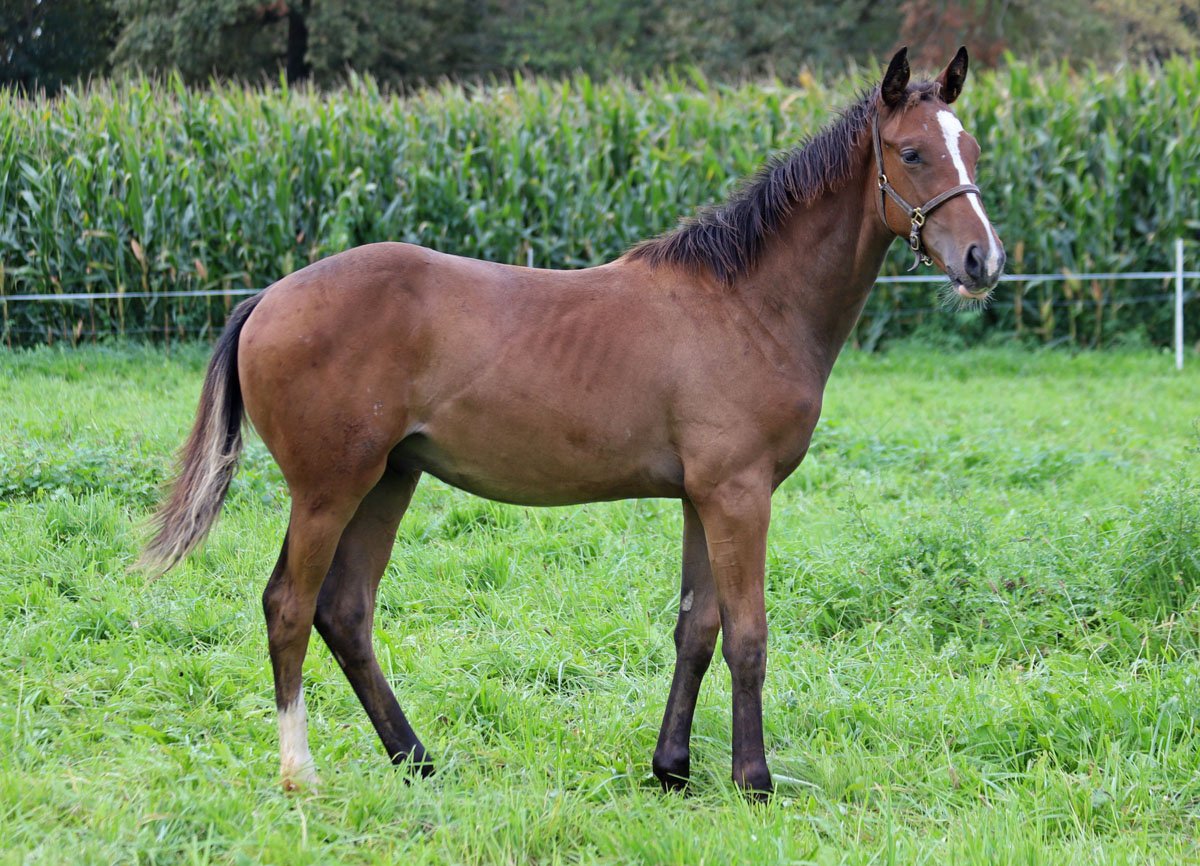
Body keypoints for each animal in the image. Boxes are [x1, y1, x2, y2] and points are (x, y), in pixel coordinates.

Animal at [142, 46, 1004, 797]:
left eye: (972, 148)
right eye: (912, 152)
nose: (983, 262)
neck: (747, 303)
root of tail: (266, 298)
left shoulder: (702, 498)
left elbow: (697, 630)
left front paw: (672, 770)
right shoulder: (739, 495)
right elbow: (748, 636)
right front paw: (753, 780)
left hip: (388, 480)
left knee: (344, 611)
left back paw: (416, 760)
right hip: (328, 490)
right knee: (290, 607)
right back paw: (301, 773)